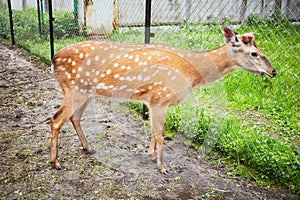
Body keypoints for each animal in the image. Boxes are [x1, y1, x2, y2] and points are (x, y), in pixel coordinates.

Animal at [49, 23, 276, 173]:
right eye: (255, 53)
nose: (273, 71)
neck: (191, 74)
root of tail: (54, 59)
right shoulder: (160, 98)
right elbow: (160, 134)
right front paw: (162, 167)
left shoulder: (153, 101)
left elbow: (153, 131)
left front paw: (150, 156)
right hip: (74, 88)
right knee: (56, 119)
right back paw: (56, 162)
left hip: (86, 92)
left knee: (74, 117)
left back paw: (88, 148)